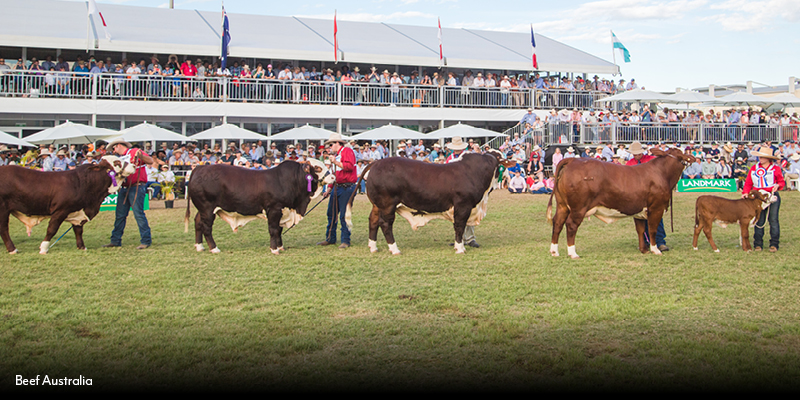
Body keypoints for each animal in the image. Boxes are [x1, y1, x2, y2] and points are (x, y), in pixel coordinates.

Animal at [0, 156, 134, 253]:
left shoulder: (78, 212)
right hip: (3, 209)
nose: (133, 165)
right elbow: (52, 229)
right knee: (4, 229)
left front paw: (82, 247)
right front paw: (43, 248)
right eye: (117, 162)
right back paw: (13, 249)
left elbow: (78, 230)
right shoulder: (61, 210)